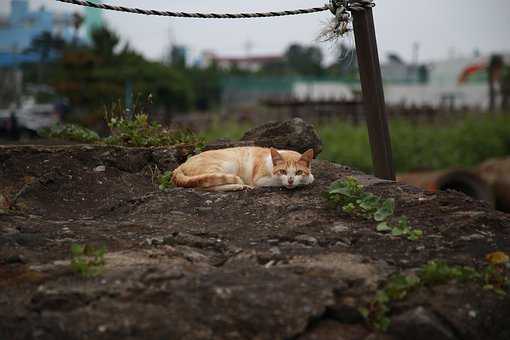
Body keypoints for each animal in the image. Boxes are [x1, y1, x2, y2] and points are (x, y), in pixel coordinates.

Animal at [171, 146, 314, 191]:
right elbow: (276, 181)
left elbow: (310, 177)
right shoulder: (260, 180)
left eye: (298, 172)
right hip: (227, 165)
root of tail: (181, 165)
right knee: (203, 186)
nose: (290, 180)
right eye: (283, 171)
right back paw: (239, 186)